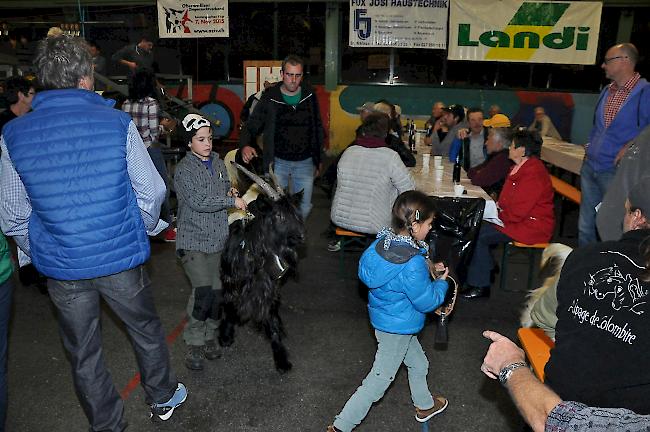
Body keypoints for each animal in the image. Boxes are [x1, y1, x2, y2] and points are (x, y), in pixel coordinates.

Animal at [218, 164, 304, 372]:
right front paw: (225, 336)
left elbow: (271, 319)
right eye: (279, 215)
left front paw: (281, 359)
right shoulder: (230, 280)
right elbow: (229, 305)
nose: (300, 236)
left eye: (296, 214)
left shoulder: (270, 288)